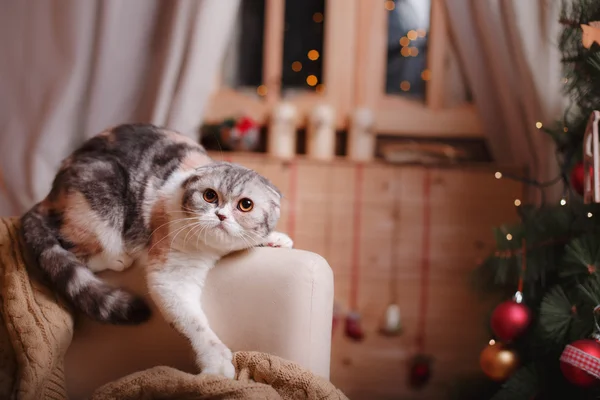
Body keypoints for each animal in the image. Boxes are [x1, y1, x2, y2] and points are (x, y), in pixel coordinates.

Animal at [22, 122, 294, 378]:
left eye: (245, 205)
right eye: (209, 196)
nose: (221, 215)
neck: (214, 250)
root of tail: (51, 194)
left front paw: (276, 239)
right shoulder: (171, 277)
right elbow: (195, 324)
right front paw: (216, 363)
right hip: (102, 195)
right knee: (72, 246)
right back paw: (117, 258)